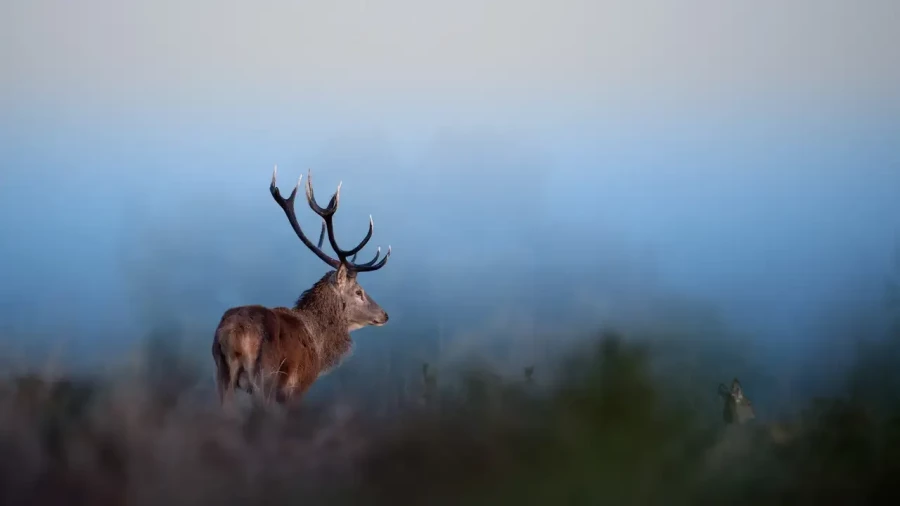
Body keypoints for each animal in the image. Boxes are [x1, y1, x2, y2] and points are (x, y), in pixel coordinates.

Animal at [212, 166, 391, 408]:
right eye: (358, 292)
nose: (384, 314)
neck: (319, 347)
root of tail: (232, 334)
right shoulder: (298, 386)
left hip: (222, 375)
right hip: (264, 378)